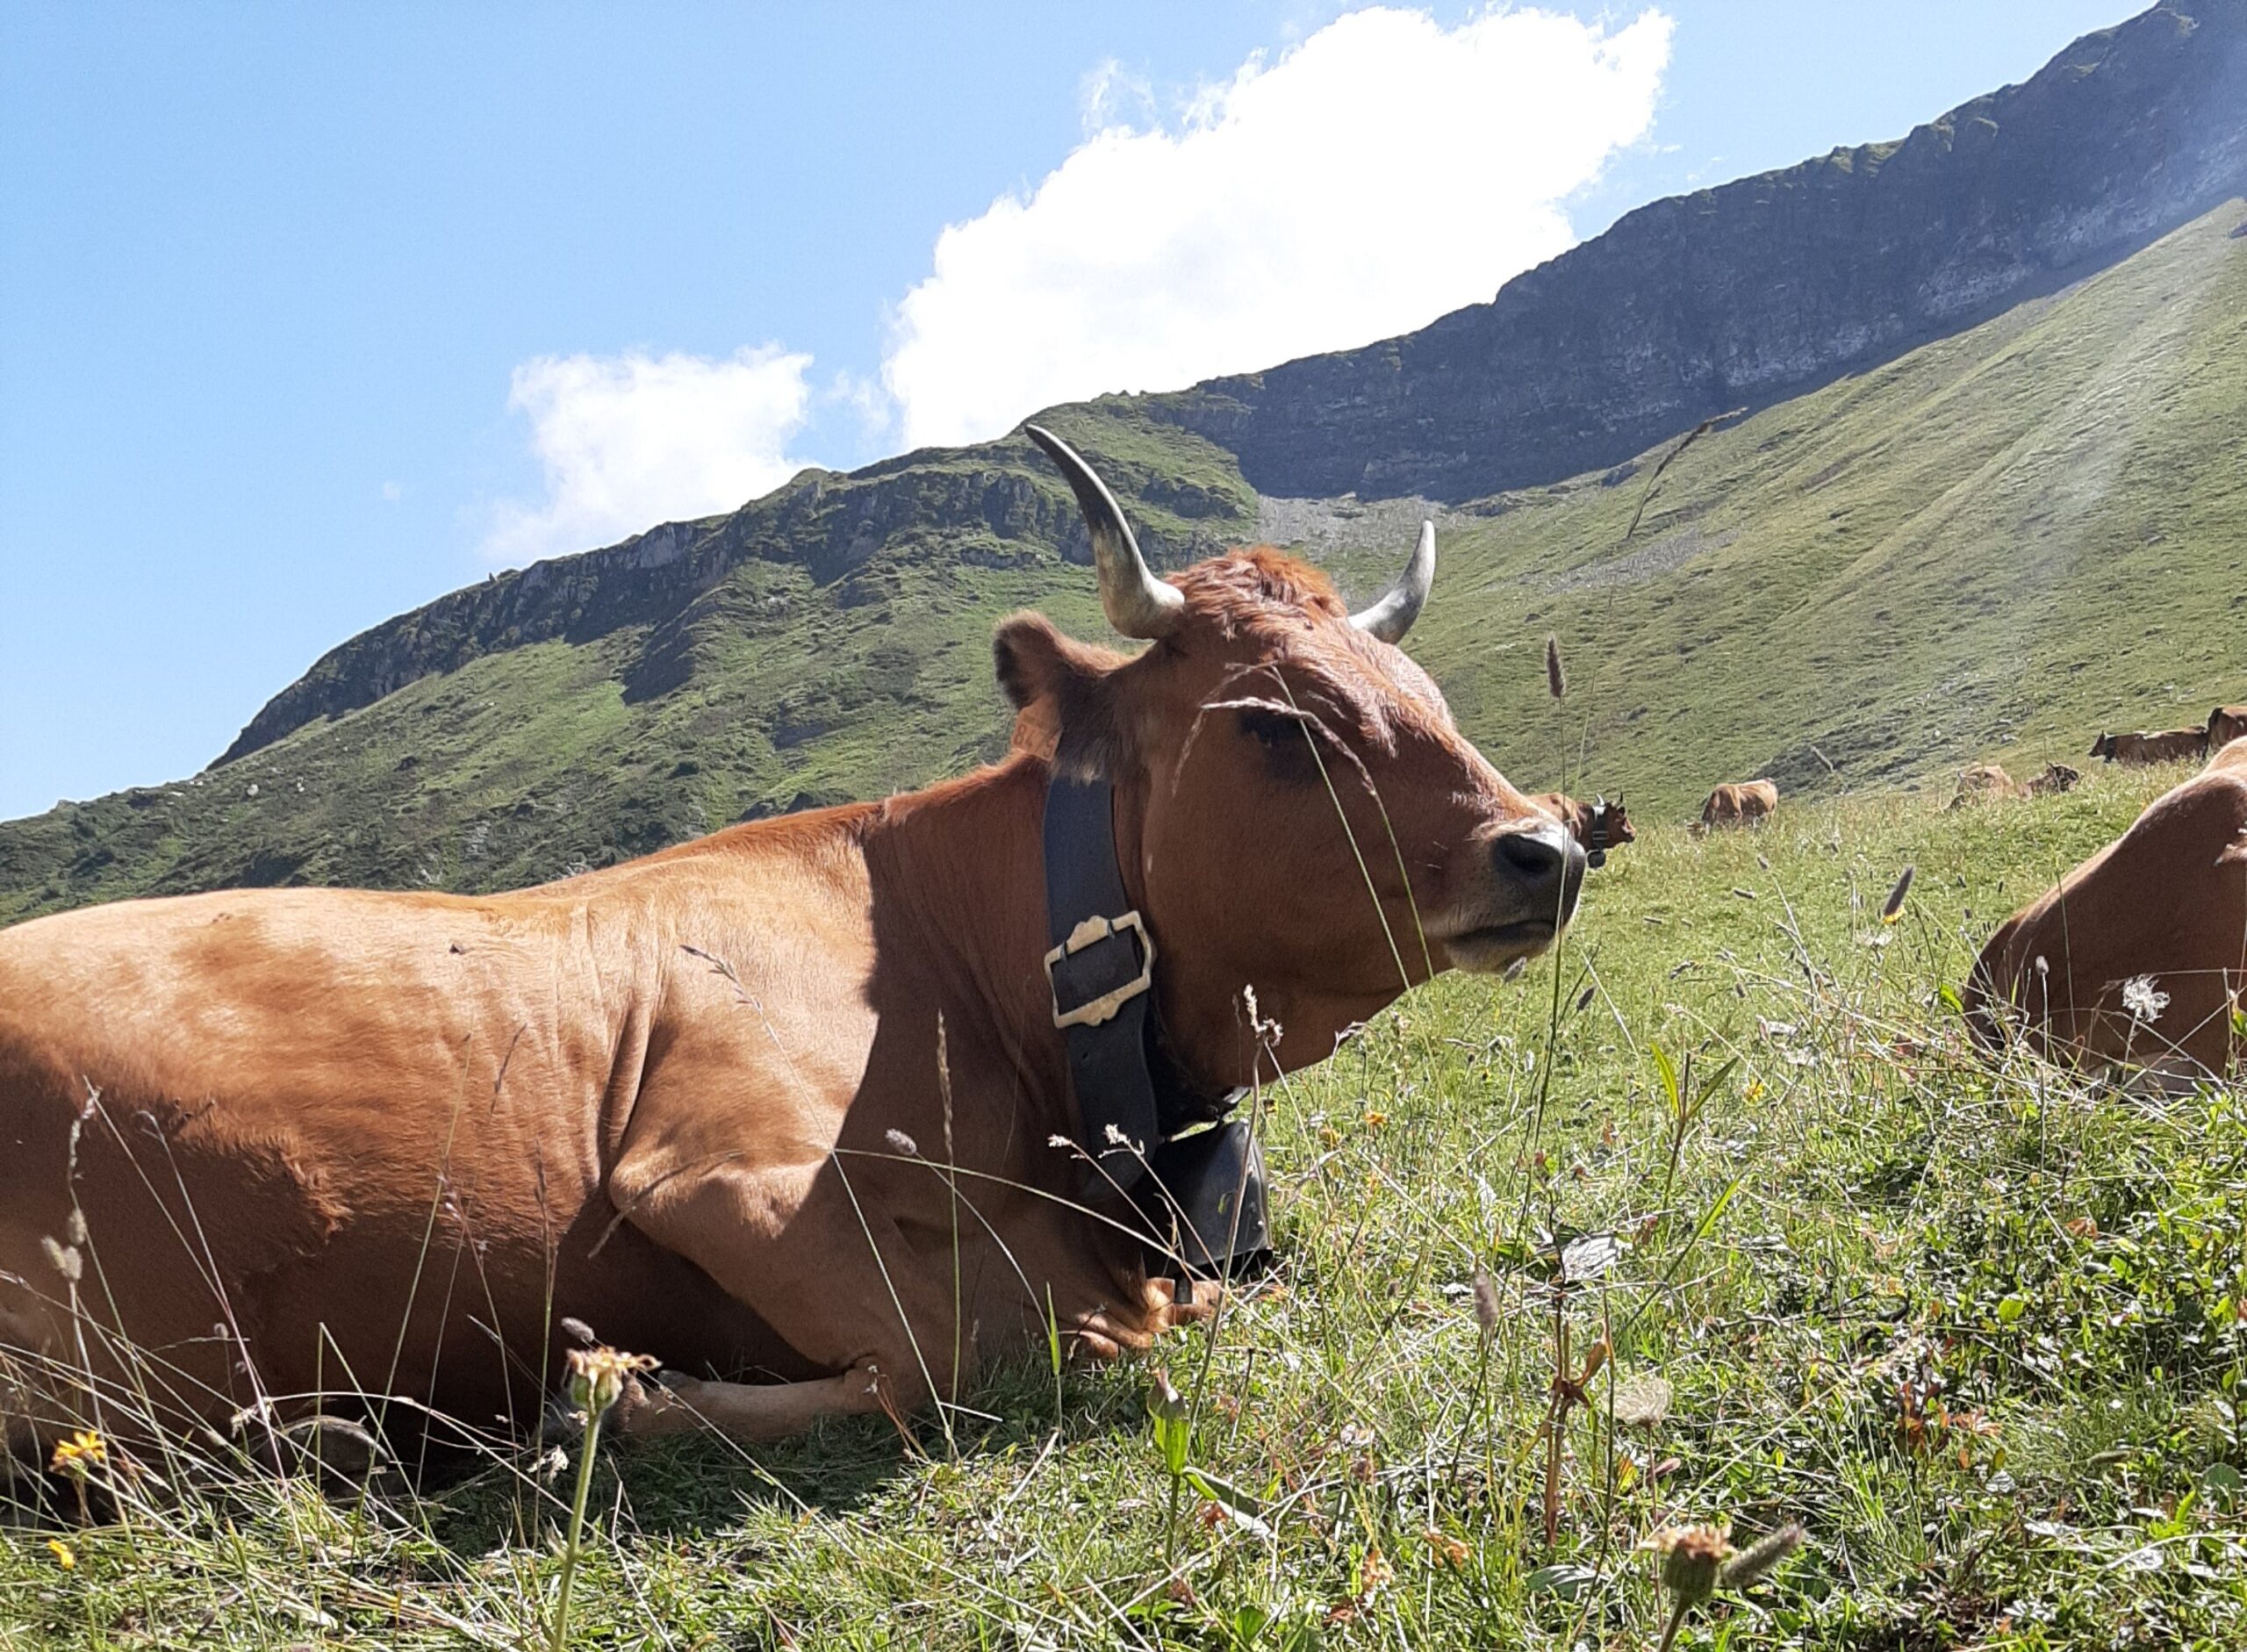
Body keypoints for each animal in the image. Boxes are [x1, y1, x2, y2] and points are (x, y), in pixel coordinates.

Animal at [0, 429, 1590, 1456]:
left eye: (1425, 689)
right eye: (1271, 723)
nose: (1548, 845)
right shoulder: (719, 1174)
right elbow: (993, 1340)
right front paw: (619, 1392)